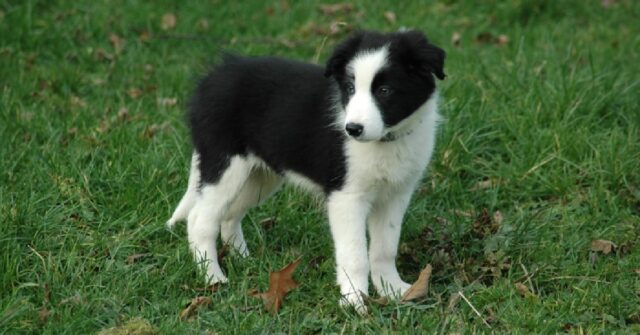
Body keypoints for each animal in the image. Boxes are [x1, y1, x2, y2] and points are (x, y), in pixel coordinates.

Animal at [166, 30, 444, 314]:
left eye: (385, 91)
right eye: (350, 89)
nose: (352, 129)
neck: (387, 140)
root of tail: (211, 79)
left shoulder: (396, 195)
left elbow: (385, 248)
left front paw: (394, 289)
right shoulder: (346, 197)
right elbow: (354, 254)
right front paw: (354, 301)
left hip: (260, 176)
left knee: (230, 214)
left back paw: (244, 260)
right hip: (225, 165)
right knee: (199, 220)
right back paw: (213, 278)